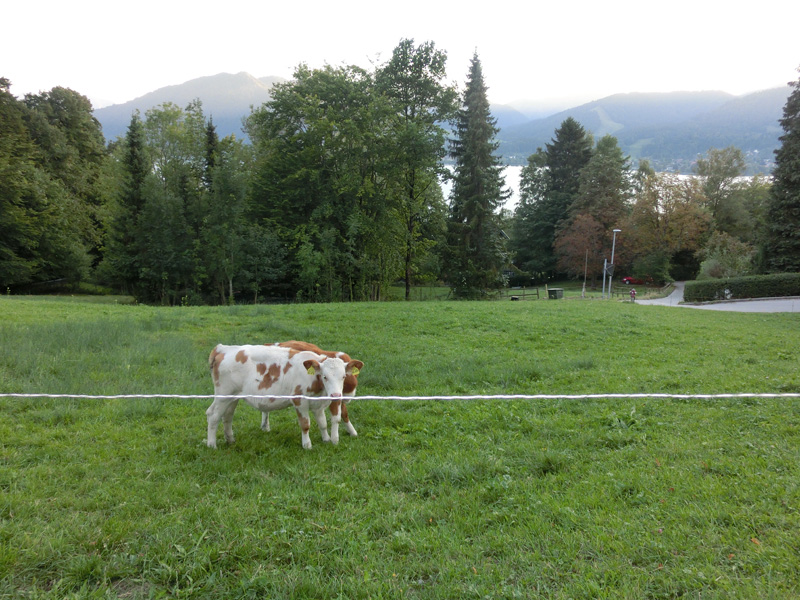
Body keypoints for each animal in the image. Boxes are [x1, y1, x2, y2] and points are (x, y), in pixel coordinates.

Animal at [206, 344, 364, 449]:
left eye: (343, 376)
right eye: (325, 376)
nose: (336, 395)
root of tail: (223, 349)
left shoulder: (317, 404)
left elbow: (323, 423)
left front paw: (326, 439)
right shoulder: (299, 401)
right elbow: (305, 424)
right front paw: (307, 445)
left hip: (232, 397)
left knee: (227, 416)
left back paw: (230, 439)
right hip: (223, 395)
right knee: (213, 416)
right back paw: (212, 444)